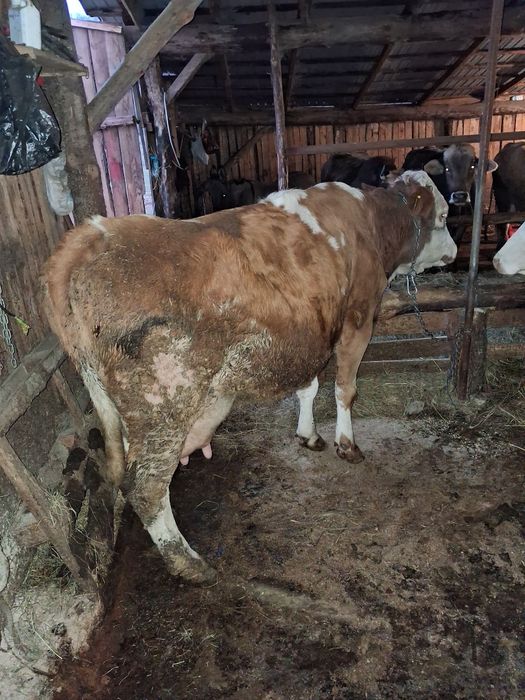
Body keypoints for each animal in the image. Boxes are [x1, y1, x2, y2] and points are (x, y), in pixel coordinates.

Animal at [43, 171, 456, 584]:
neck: (368, 220)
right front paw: (347, 444)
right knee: (146, 487)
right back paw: (189, 563)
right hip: (165, 404)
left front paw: (308, 434)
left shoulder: (309, 334)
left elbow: (308, 387)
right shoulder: (358, 318)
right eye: (443, 215)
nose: (453, 252)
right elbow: (345, 389)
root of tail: (91, 235)